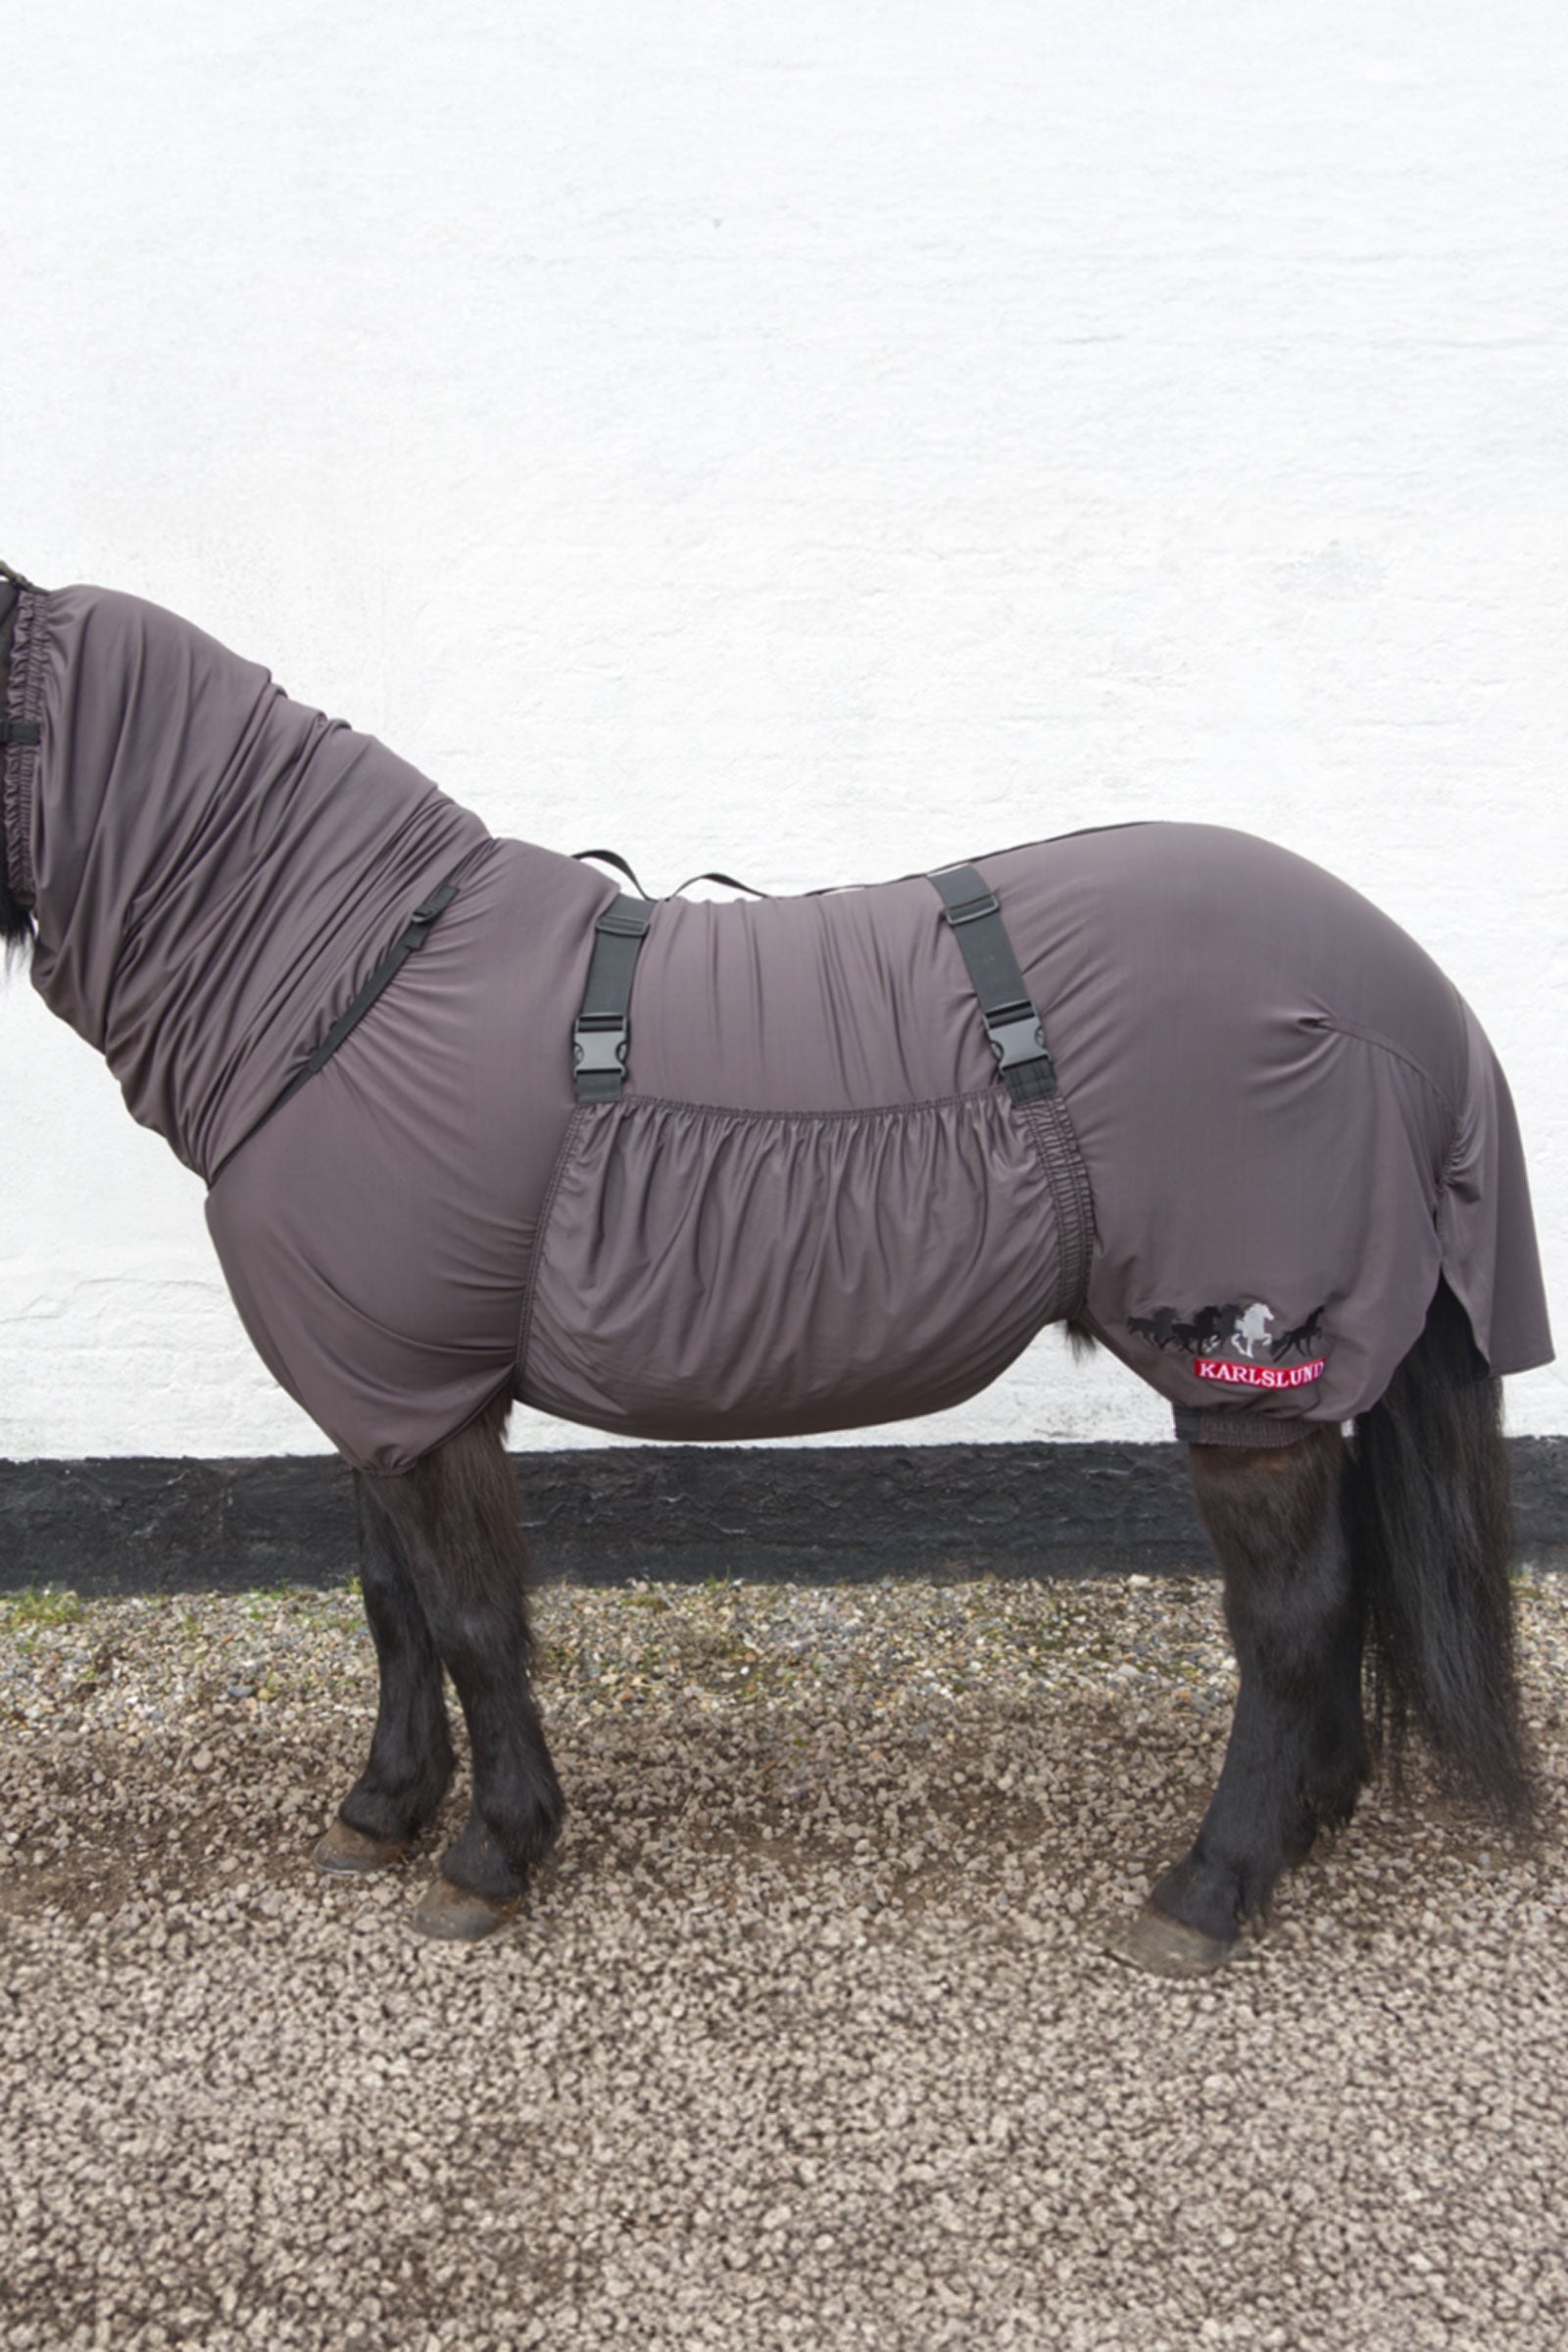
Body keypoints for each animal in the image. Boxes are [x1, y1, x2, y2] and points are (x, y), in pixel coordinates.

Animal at [0, 563, 1551, 1973]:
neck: (350, 981)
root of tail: (1409, 991)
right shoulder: (389, 1385)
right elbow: (395, 1609)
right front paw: (382, 1808)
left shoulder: (425, 1403)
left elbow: (473, 1619)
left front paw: (492, 1850)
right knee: (1340, 1588)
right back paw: (1310, 1818)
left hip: (1244, 1377)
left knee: (1288, 1615)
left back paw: (1211, 1886)